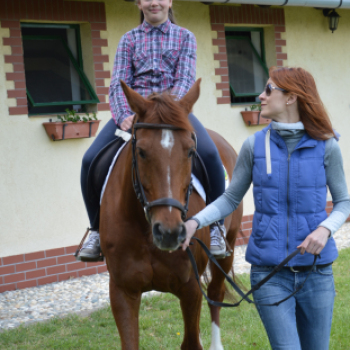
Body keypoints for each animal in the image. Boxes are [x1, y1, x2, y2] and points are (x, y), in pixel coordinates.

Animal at [100, 79, 243, 350]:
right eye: (141, 151)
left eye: (190, 152)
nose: (169, 233)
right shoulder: (123, 291)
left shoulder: (190, 288)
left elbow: (191, 342)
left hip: (227, 249)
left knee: (215, 294)